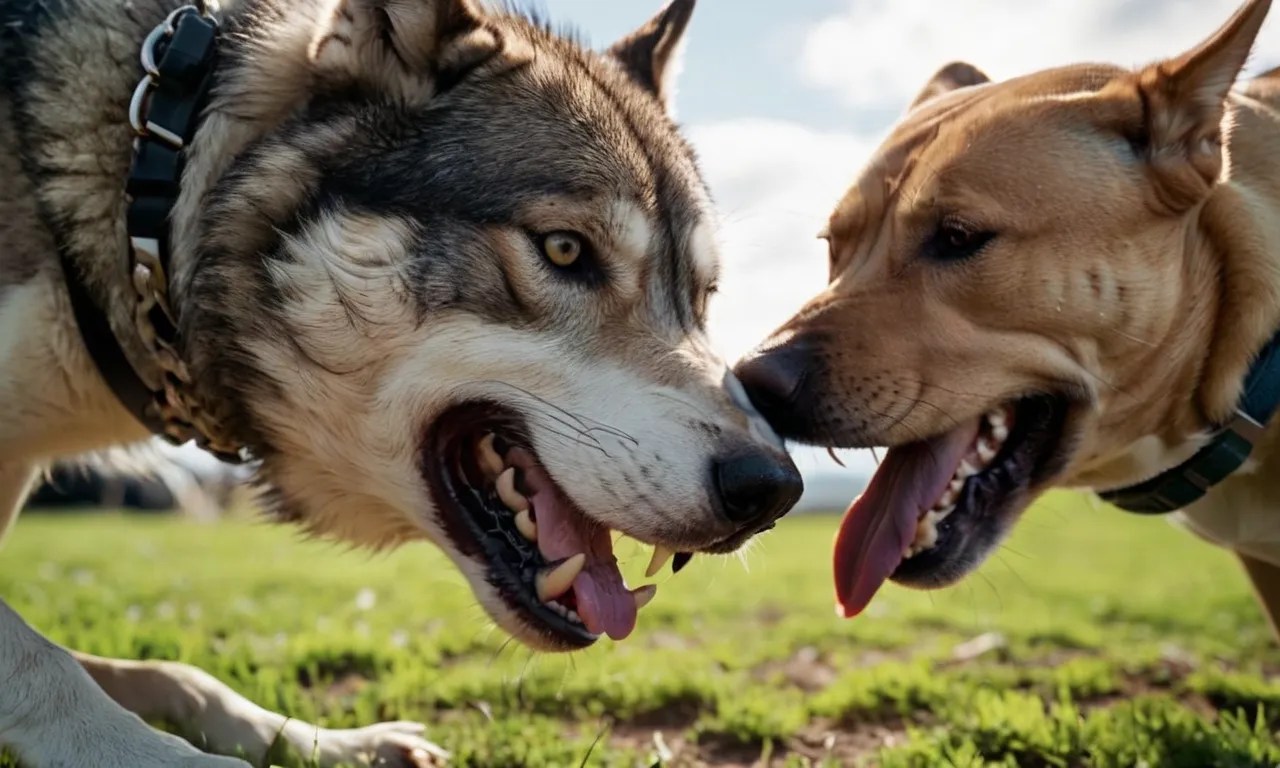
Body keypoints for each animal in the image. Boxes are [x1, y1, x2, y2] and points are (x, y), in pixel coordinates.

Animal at [0, 0, 804, 763]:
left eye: (701, 296)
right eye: (565, 250)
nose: (771, 490)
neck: (145, 209)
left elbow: (175, 673)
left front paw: (330, 742)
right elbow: (47, 666)